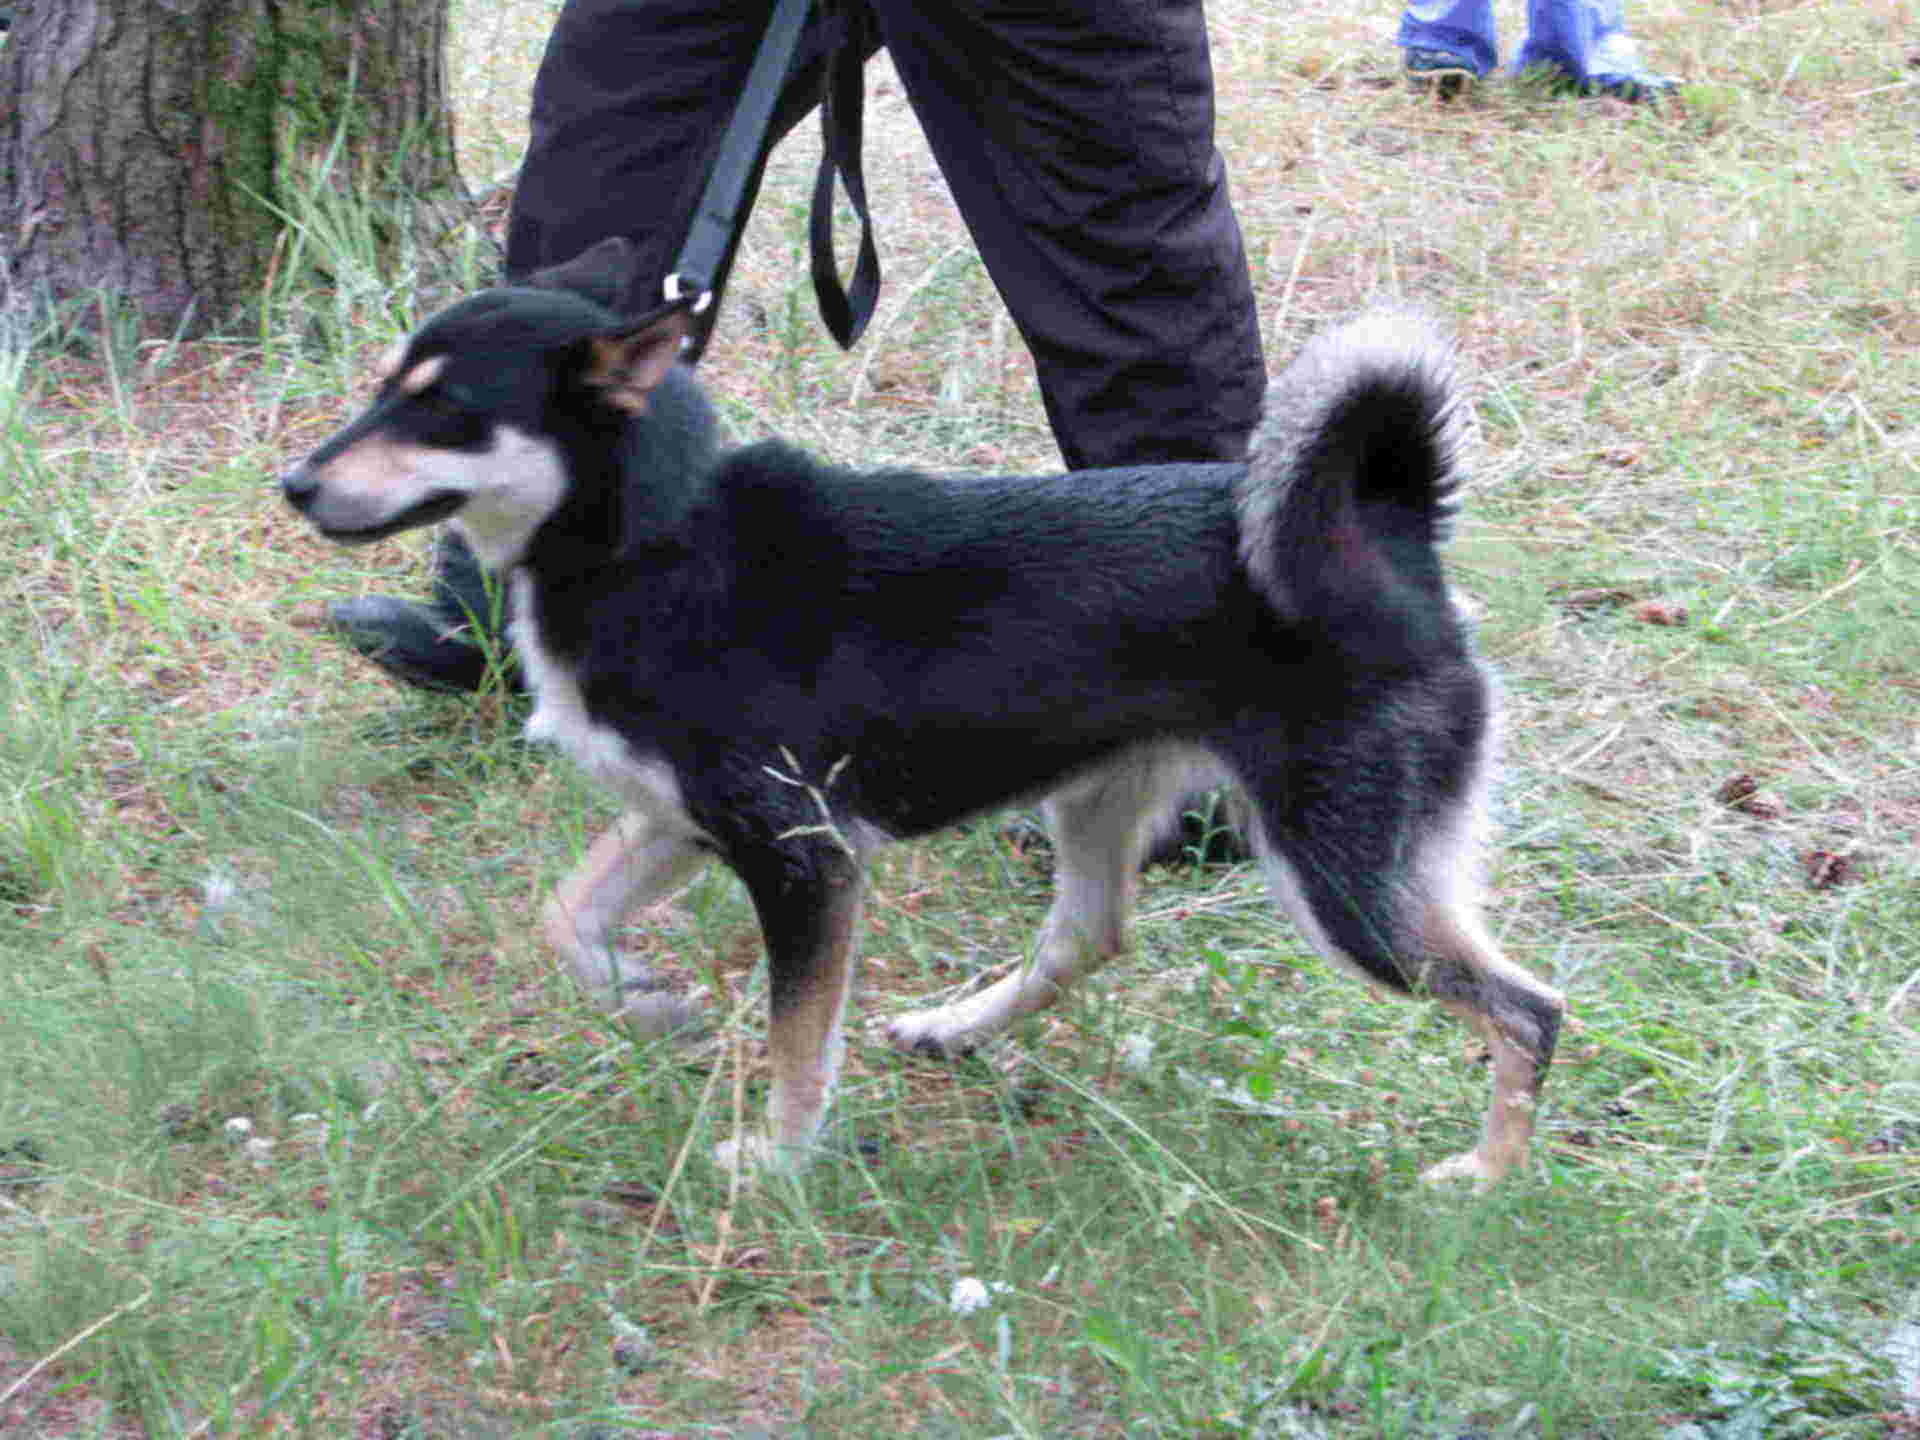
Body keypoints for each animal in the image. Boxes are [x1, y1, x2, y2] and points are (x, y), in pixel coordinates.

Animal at [280, 237, 1559, 1182]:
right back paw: (955, 1027)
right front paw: (646, 1003)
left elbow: (798, 1040)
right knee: (1088, 937)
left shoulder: (802, 859)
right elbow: (562, 921)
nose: (294, 483)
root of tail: (1387, 526)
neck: (655, 539)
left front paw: (779, 1160)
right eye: (386, 388)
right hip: (1102, 805)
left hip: (1342, 879)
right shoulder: (673, 822)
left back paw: (1483, 1178)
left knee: (1529, 1012)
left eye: (443, 410)